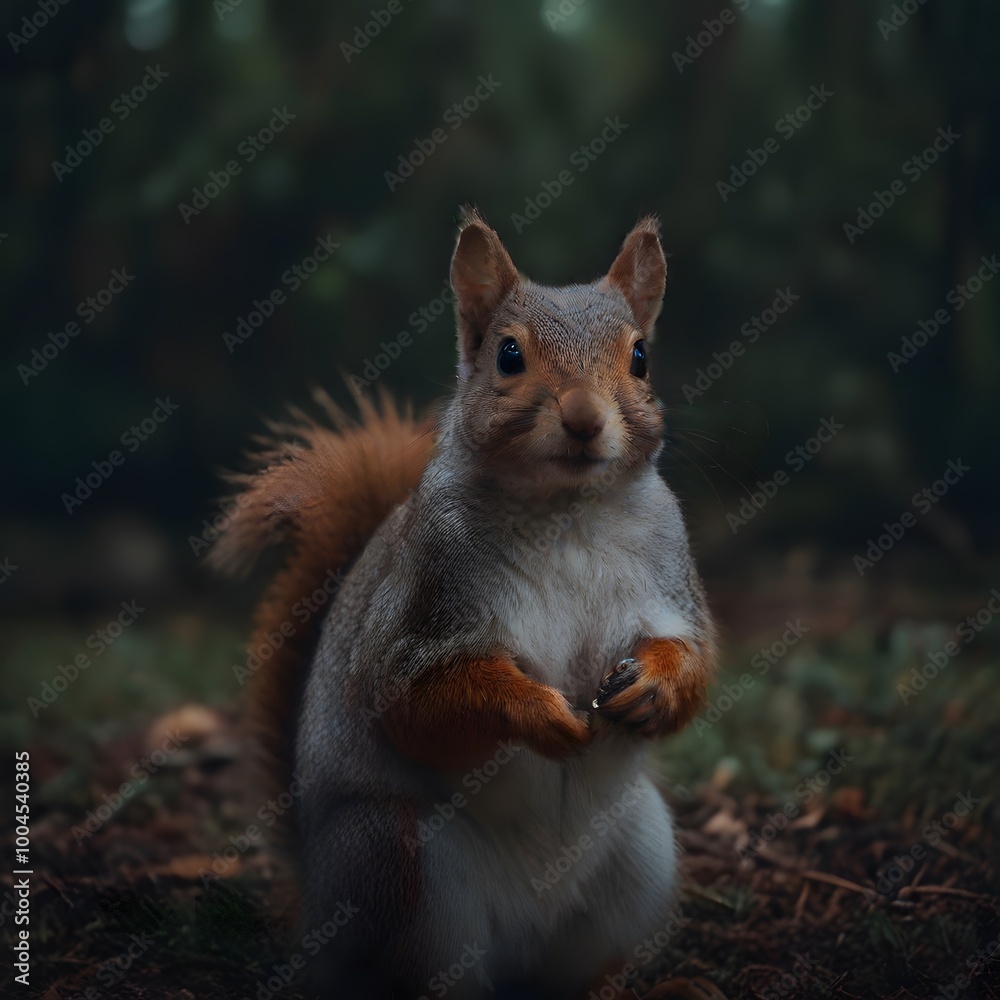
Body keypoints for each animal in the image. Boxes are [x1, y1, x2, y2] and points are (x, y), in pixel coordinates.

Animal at [212, 210, 717, 999]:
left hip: (640, 856)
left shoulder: (670, 580)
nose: (584, 419)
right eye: (508, 355)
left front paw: (654, 687)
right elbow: (417, 703)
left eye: (641, 358)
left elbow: (696, 657)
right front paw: (538, 712)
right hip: (401, 866)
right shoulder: (422, 605)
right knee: (427, 974)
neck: (564, 514)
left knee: (574, 967)